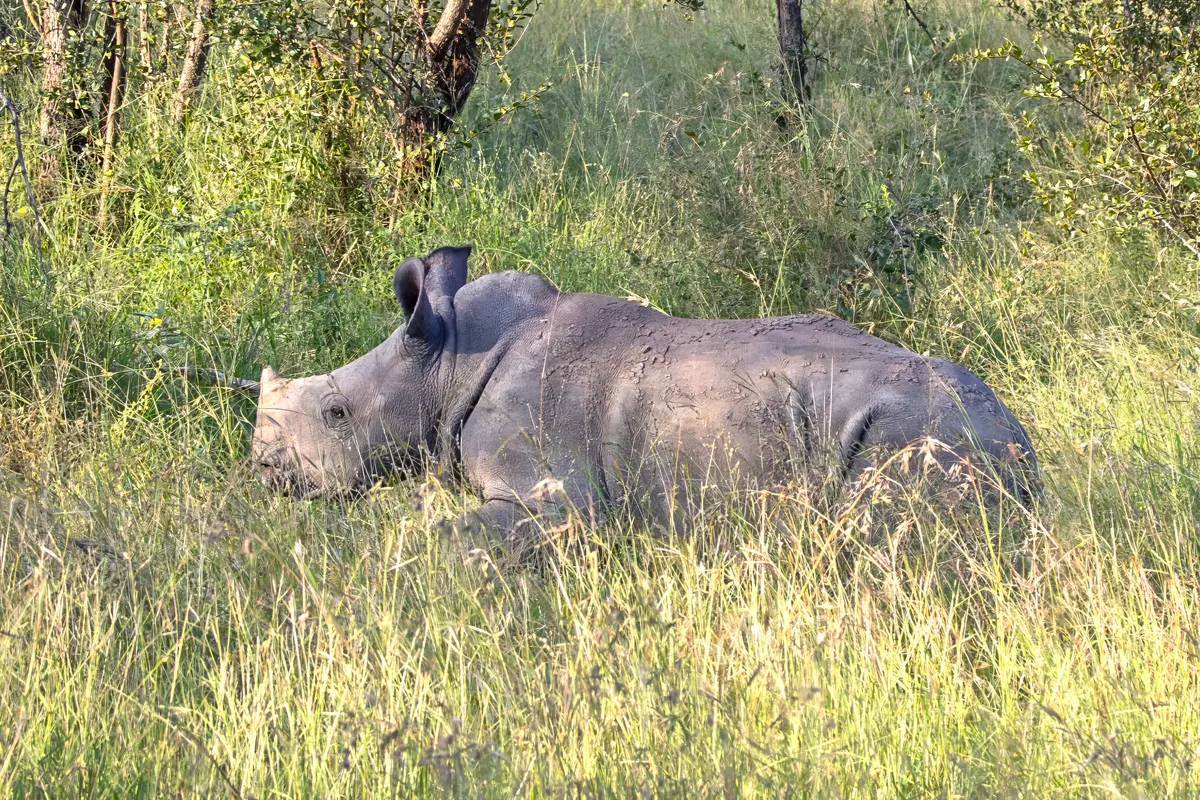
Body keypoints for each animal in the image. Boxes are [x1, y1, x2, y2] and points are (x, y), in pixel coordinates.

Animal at [252, 245, 1037, 536]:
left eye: (336, 412)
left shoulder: (549, 494)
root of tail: (1022, 445)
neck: (444, 361)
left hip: (914, 428)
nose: (265, 470)